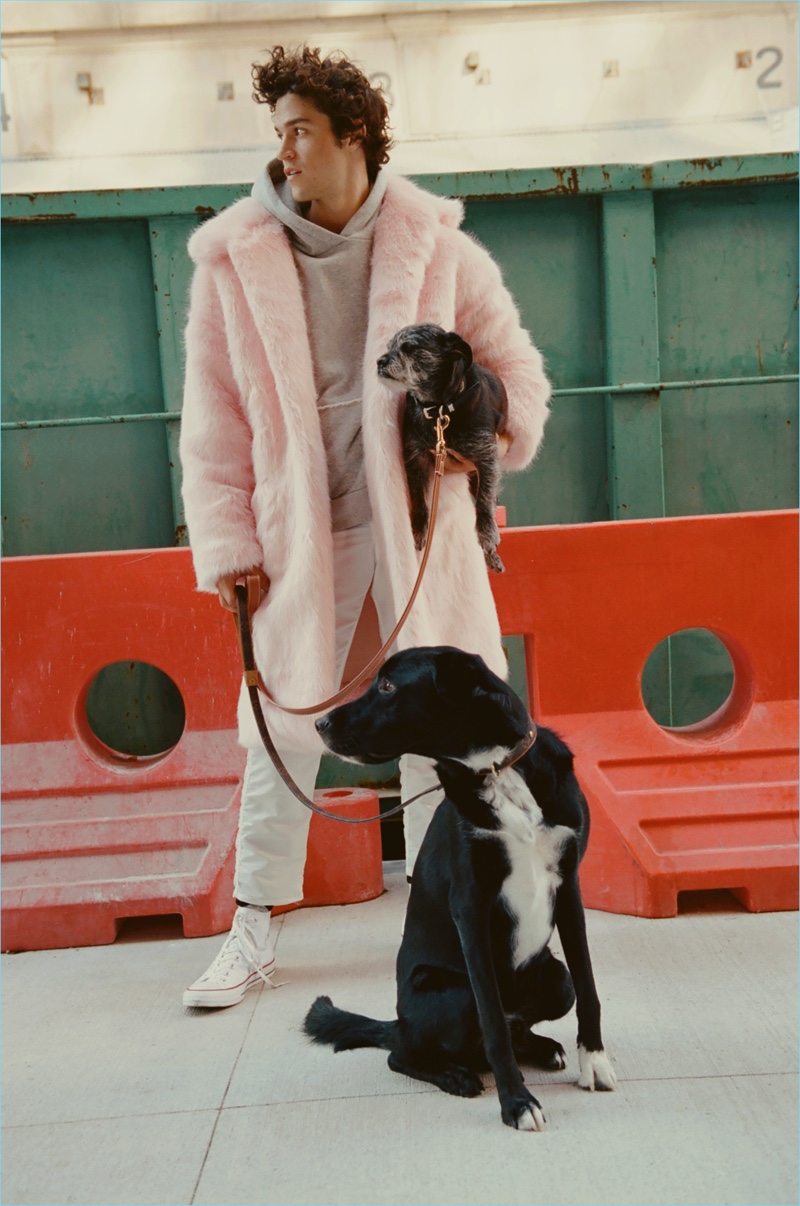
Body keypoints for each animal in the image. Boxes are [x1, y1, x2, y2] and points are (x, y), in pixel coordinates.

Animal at [304, 646, 617, 1132]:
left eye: (388, 686)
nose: (319, 723)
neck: (495, 770)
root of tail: (398, 1022)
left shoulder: (569, 887)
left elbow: (587, 986)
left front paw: (595, 1061)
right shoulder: (470, 905)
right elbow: (491, 1021)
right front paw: (516, 1102)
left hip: (552, 979)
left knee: (526, 1016)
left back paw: (542, 1047)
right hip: (453, 997)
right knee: (403, 1054)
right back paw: (455, 1075)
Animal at [377, 324, 509, 573]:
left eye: (410, 347)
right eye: (389, 346)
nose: (379, 361)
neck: (439, 409)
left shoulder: (487, 457)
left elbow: (484, 501)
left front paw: (487, 534)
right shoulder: (416, 458)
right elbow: (419, 499)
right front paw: (419, 531)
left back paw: (492, 557)